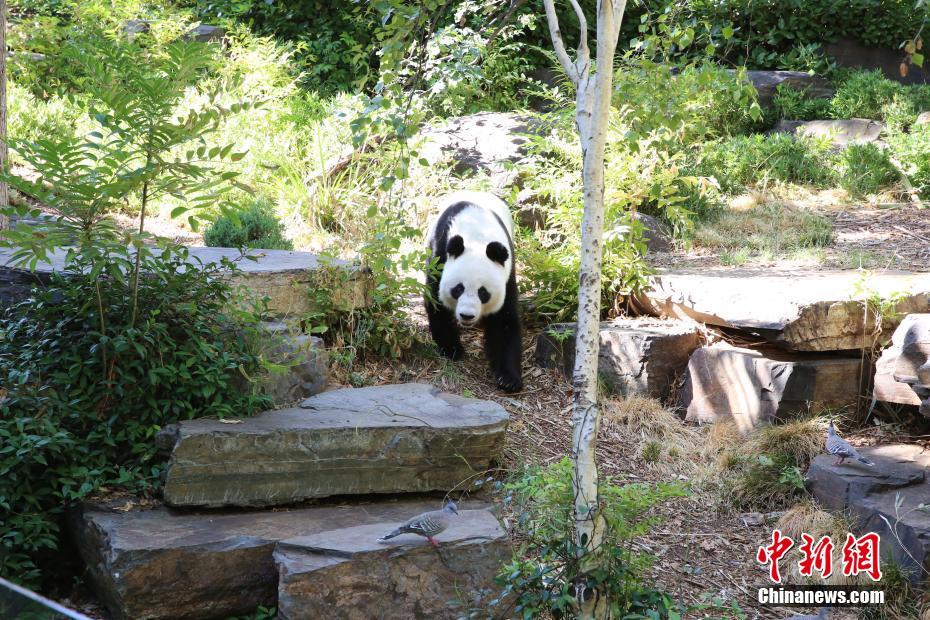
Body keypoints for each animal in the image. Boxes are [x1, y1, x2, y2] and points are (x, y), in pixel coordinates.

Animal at [426, 190, 520, 392]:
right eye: (458, 289)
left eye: (483, 292)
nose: (466, 315)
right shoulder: (440, 254)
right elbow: (437, 302)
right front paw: (451, 349)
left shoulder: (508, 271)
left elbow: (504, 320)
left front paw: (509, 379)